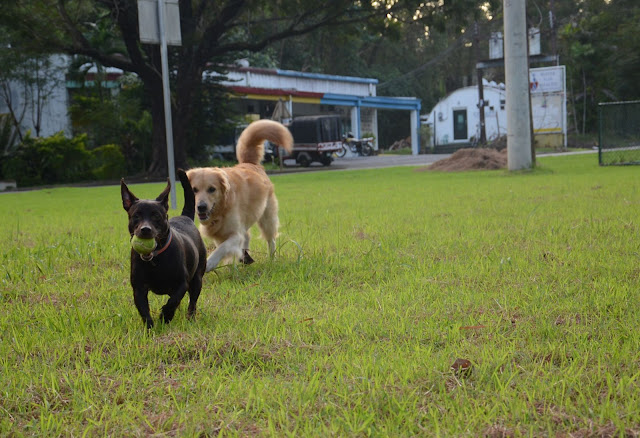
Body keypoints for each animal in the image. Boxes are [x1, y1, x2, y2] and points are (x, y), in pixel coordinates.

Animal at [121, 169, 206, 326]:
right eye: (136, 216)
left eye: (156, 216)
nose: (145, 229)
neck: (156, 259)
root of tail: (185, 217)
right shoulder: (138, 287)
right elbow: (143, 309)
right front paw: (149, 327)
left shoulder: (182, 283)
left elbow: (173, 301)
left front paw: (165, 316)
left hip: (197, 278)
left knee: (192, 301)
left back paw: (190, 318)